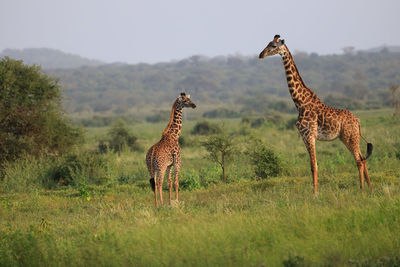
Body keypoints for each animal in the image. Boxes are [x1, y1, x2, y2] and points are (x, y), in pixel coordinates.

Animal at [258, 34, 374, 196]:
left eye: (273, 46)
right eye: (267, 43)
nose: (261, 54)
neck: (300, 102)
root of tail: (357, 121)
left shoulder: (309, 135)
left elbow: (314, 166)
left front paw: (315, 194)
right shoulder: (304, 137)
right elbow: (311, 165)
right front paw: (315, 192)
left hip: (350, 136)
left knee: (359, 160)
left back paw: (362, 189)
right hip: (347, 137)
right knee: (363, 158)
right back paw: (370, 188)